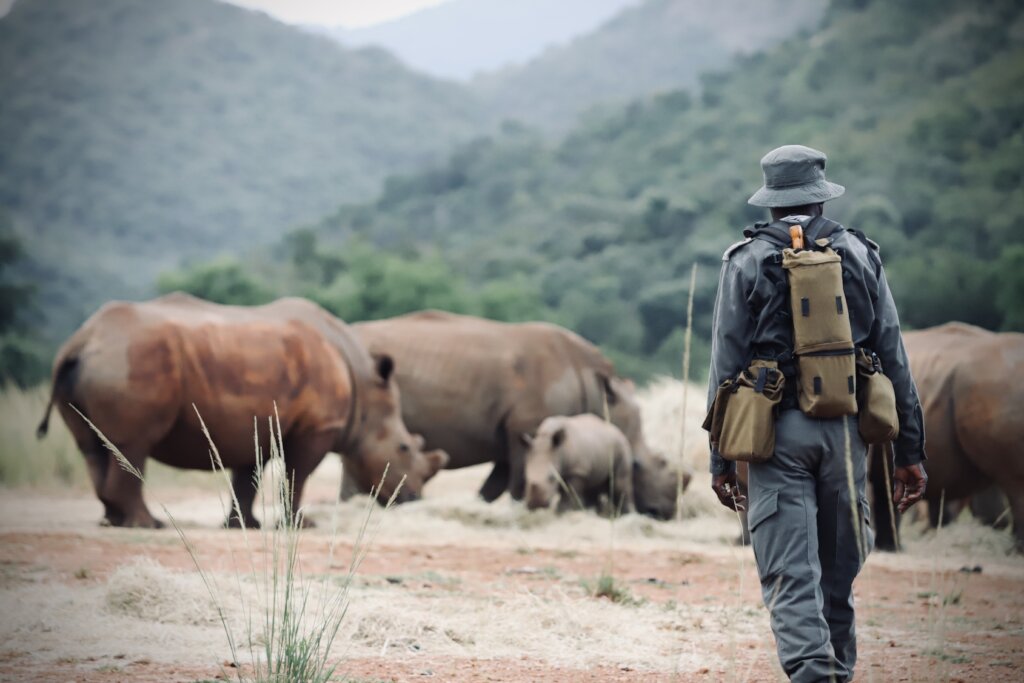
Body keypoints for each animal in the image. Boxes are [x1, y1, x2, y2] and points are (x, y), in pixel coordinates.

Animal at [35, 294, 447, 528]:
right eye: (405, 448)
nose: (414, 499)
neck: (365, 391)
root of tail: (81, 340)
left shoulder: (256, 421)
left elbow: (246, 479)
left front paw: (243, 525)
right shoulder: (316, 428)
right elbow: (296, 476)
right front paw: (300, 526)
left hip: (98, 363)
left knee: (94, 448)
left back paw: (113, 520)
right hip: (132, 359)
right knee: (132, 445)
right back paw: (146, 525)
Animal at [350, 311, 685, 518]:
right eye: (639, 465)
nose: (663, 513)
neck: (597, 389)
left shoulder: (512, 434)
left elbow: (494, 487)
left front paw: (485, 508)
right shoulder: (528, 427)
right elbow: (519, 480)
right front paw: (523, 509)